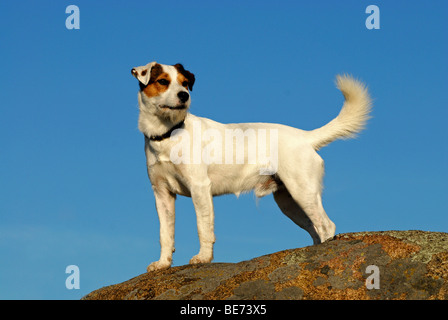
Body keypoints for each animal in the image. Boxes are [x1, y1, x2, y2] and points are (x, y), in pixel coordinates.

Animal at [130, 61, 372, 272]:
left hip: (304, 192)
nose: (184, 95)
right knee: (315, 229)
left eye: (184, 83)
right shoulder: (162, 194)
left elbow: (203, 228)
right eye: (163, 81)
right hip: (289, 202)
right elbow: (165, 234)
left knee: (326, 226)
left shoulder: (199, 188)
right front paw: (163, 264)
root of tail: (305, 137)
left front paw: (203, 258)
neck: (168, 133)